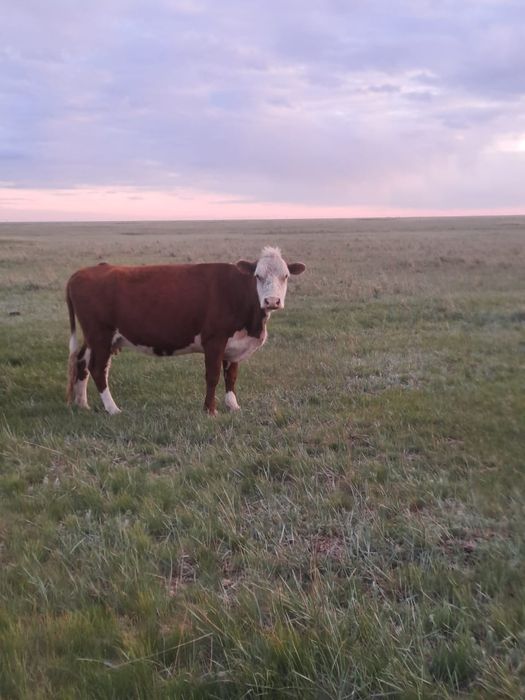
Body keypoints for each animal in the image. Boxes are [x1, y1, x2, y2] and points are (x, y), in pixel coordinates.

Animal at [66, 246, 306, 416]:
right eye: (258, 276)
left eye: (285, 276)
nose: (272, 301)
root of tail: (83, 272)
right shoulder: (214, 340)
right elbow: (213, 375)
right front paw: (210, 410)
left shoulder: (235, 343)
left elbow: (231, 376)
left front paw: (233, 406)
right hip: (100, 335)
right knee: (98, 369)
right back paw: (112, 408)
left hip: (95, 338)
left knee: (82, 362)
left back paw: (82, 403)